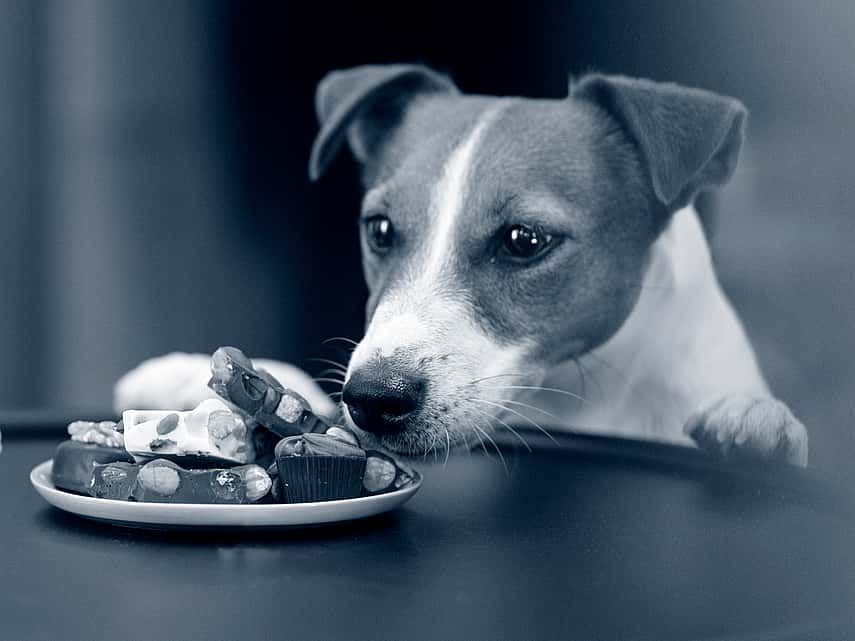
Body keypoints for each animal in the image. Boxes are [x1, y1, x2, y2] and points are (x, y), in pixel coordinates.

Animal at [118, 63, 808, 464]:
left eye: (525, 240)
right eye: (380, 228)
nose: (371, 400)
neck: (580, 397)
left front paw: (761, 427)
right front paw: (189, 376)